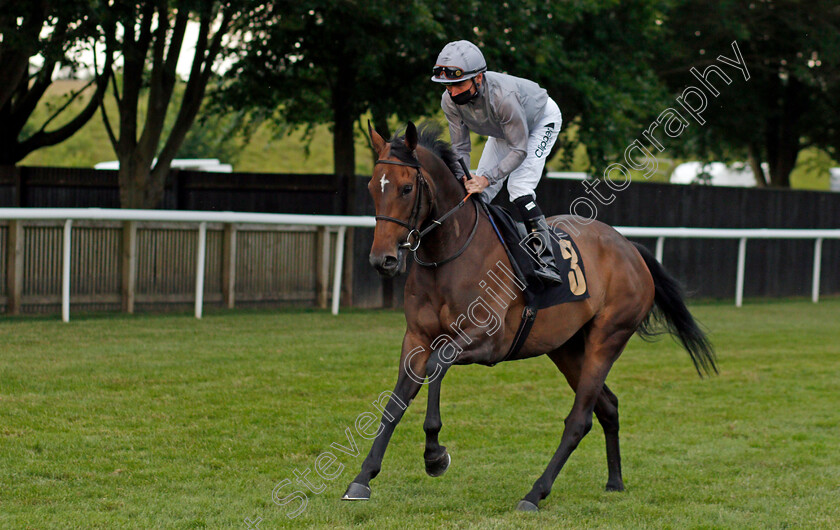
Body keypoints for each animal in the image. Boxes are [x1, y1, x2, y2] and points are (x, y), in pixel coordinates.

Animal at [342, 121, 716, 510]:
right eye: (373, 187)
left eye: (406, 188)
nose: (382, 259)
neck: (447, 255)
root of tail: (629, 247)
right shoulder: (416, 338)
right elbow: (396, 402)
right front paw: (362, 478)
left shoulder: (487, 341)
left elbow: (436, 365)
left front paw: (434, 455)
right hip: (566, 348)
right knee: (608, 406)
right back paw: (615, 481)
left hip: (607, 338)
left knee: (580, 419)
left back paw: (535, 493)